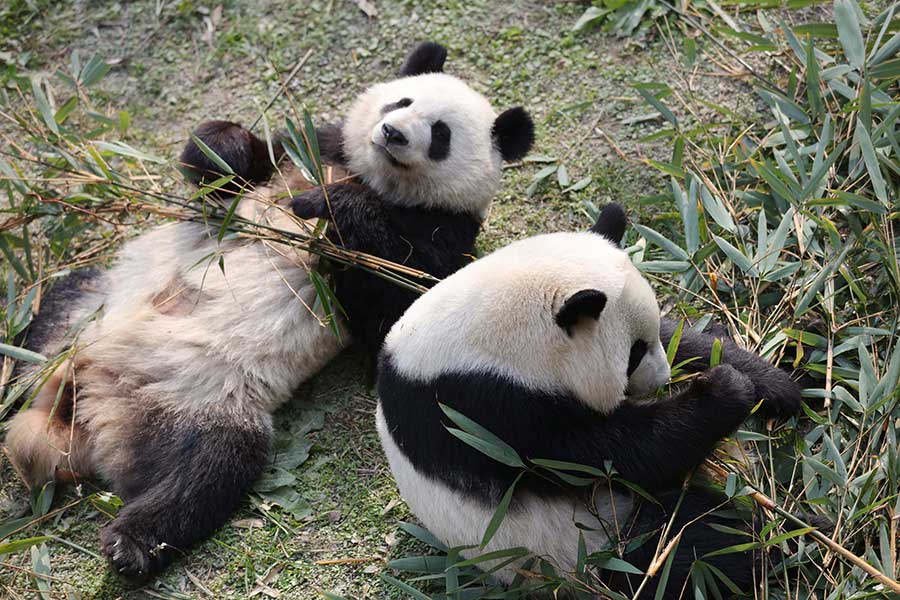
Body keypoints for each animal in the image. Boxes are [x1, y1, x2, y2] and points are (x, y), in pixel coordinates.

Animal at [182, 41, 536, 355]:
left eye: (440, 133)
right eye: (402, 102)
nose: (393, 133)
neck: (376, 179)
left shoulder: (448, 225)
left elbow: (399, 293)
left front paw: (326, 201)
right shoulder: (315, 151)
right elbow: (228, 175)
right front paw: (223, 147)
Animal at [376, 203, 801, 597]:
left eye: (647, 343)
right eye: (633, 354)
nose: (664, 379)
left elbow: (683, 341)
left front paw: (773, 384)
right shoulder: (487, 413)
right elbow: (613, 456)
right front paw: (726, 390)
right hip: (583, 545)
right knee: (691, 547)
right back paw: (767, 546)